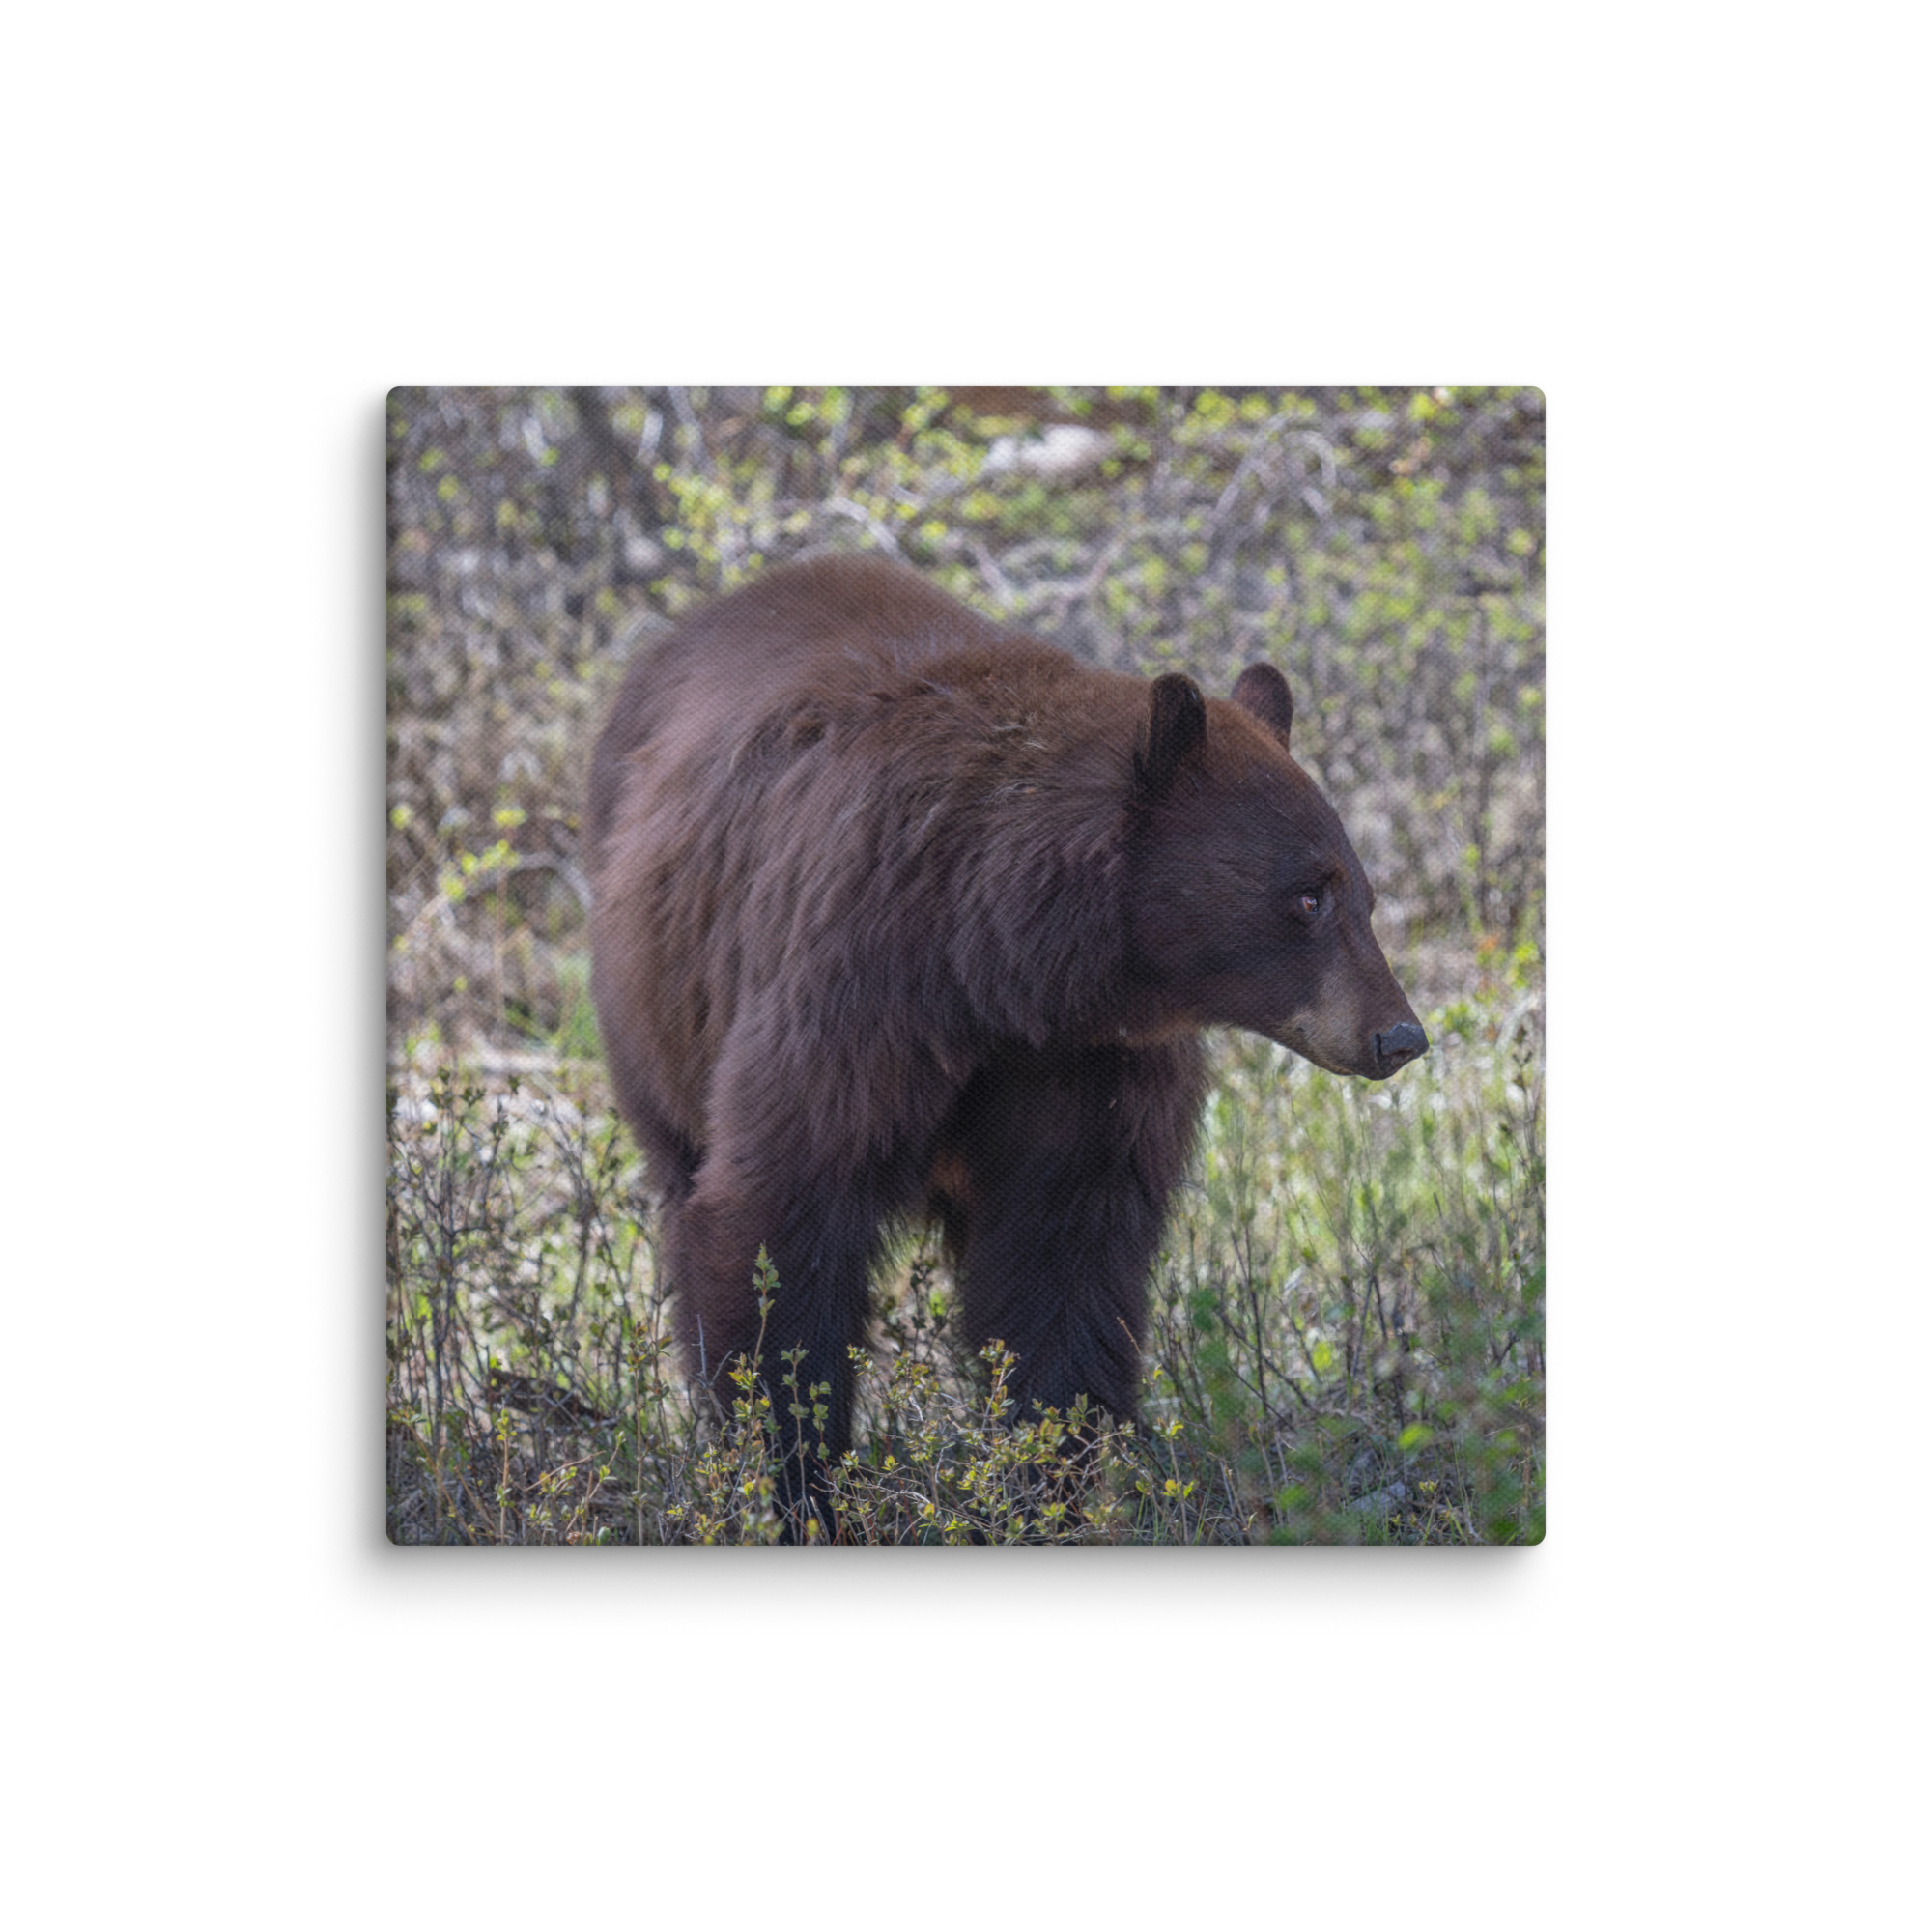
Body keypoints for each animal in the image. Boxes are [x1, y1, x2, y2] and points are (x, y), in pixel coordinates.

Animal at [586, 554, 1425, 1508]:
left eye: (1363, 895)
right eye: (1308, 897)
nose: (1399, 1035)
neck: (999, 965)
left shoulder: (1090, 1065)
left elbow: (1063, 1258)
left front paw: (1040, 1474)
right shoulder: (856, 991)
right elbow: (781, 1215)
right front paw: (794, 1477)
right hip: (657, 1007)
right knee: (681, 1171)